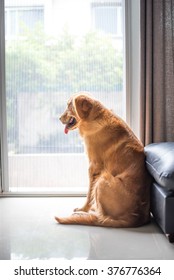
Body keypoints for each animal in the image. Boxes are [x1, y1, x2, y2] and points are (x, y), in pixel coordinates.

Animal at [55, 92, 151, 228]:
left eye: (69, 105)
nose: (59, 118)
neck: (93, 118)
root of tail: (136, 218)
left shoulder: (93, 167)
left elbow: (89, 194)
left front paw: (83, 209)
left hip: (102, 181)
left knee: (102, 217)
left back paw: (83, 214)